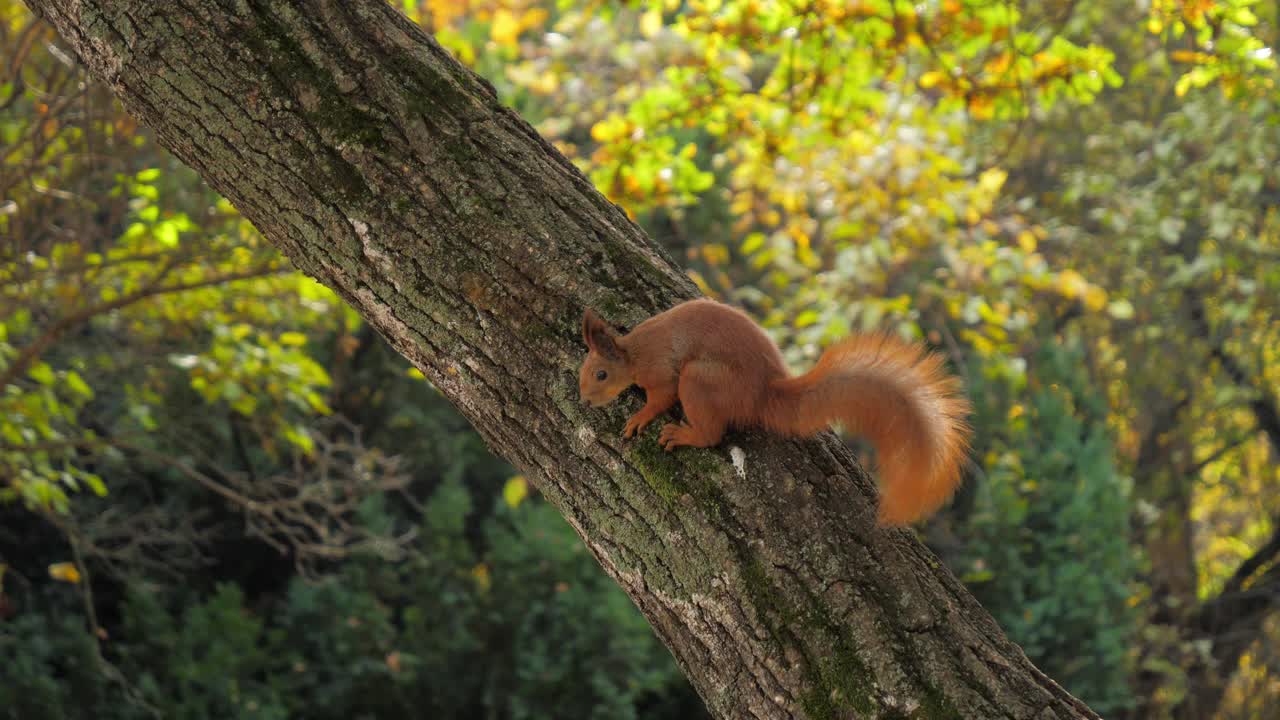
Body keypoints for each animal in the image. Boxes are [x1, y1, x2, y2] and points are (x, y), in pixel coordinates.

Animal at [581, 297, 967, 527]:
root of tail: (762, 394)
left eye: (600, 374)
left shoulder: (662, 373)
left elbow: (660, 398)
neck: (633, 353)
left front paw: (638, 418)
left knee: (711, 434)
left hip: (700, 380)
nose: (584, 400)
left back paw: (683, 434)